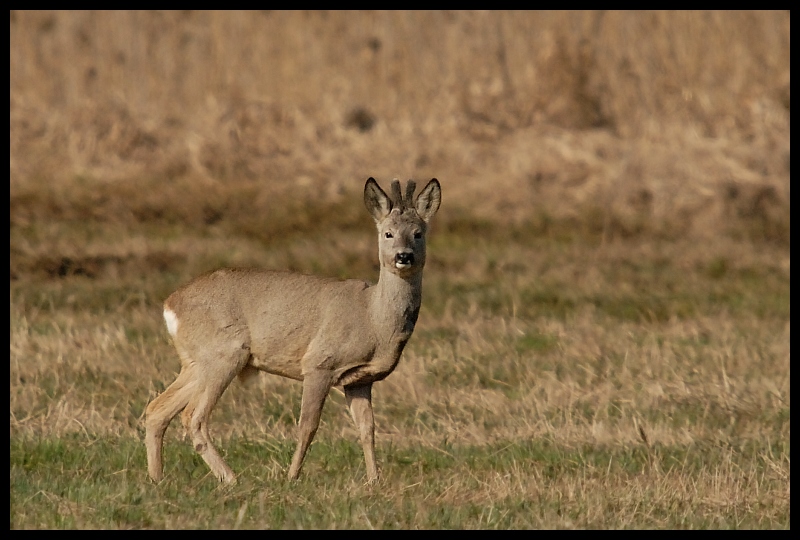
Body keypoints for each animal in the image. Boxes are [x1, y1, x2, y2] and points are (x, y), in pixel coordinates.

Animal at [147, 178, 440, 486]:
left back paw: (157, 479)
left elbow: (367, 429)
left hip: (195, 361)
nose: (403, 256)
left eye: (418, 233)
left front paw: (374, 482)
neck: (373, 318)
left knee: (157, 410)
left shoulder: (359, 380)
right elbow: (308, 426)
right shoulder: (319, 363)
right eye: (387, 233)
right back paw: (231, 478)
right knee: (193, 416)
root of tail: (170, 305)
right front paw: (291, 477)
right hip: (224, 354)